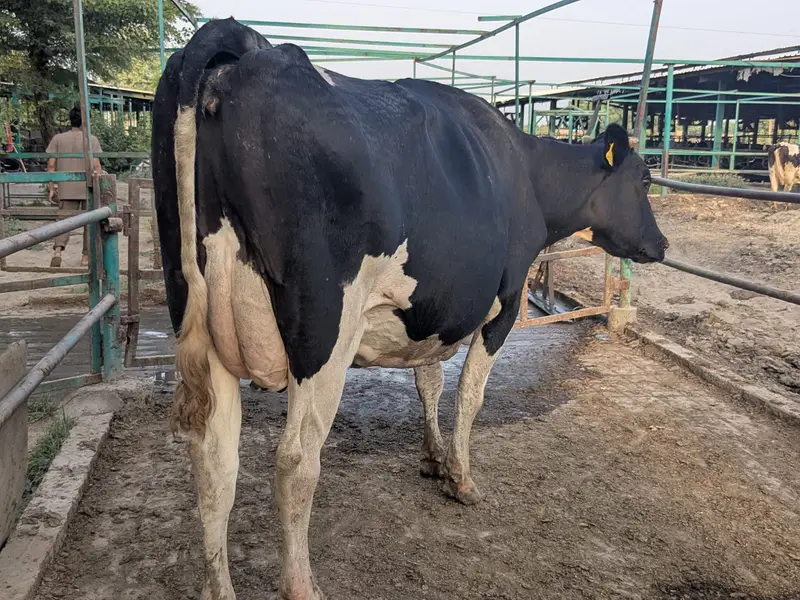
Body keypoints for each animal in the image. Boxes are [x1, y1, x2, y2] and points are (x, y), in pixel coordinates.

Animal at [152, 17, 668, 600]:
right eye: (645, 180)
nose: (662, 243)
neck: (528, 176)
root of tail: (243, 44)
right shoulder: (505, 301)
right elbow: (469, 394)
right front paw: (461, 477)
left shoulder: (430, 309)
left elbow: (429, 382)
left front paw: (432, 458)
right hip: (323, 332)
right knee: (296, 460)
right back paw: (303, 583)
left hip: (198, 320)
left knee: (213, 461)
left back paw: (218, 586)